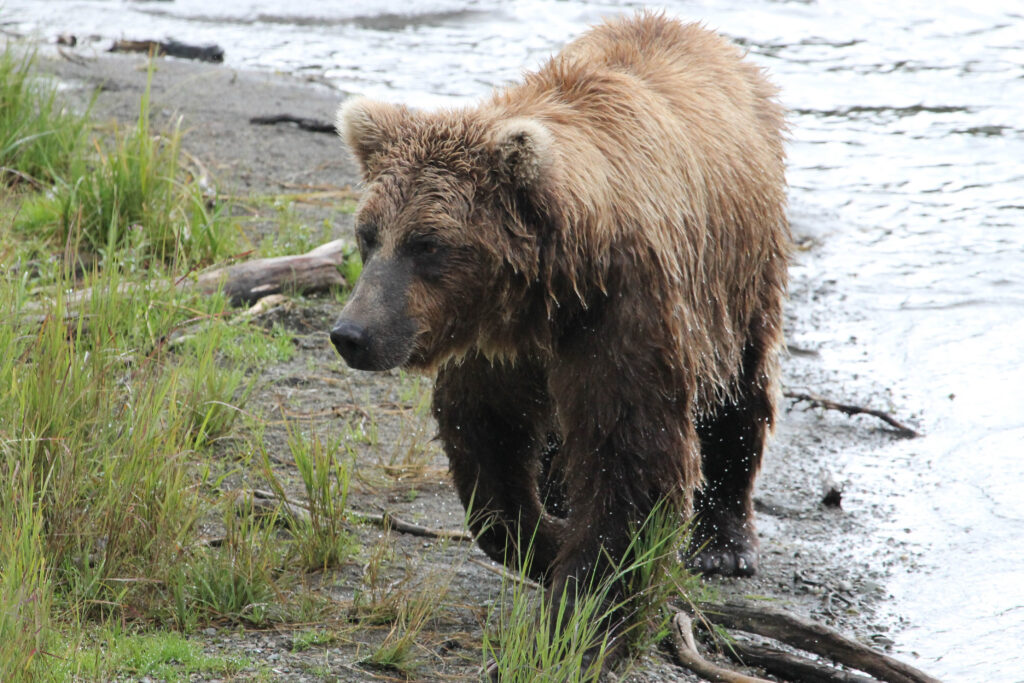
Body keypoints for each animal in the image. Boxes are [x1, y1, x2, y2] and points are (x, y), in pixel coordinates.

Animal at [330, 9, 788, 657]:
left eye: (427, 244)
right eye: (368, 235)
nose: (353, 333)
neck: (549, 289)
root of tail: (704, 34)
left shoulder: (624, 311)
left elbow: (631, 456)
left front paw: (586, 610)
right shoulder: (498, 344)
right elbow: (487, 439)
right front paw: (544, 542)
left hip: (740, 270)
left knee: (740, 387)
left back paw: (725, 541)